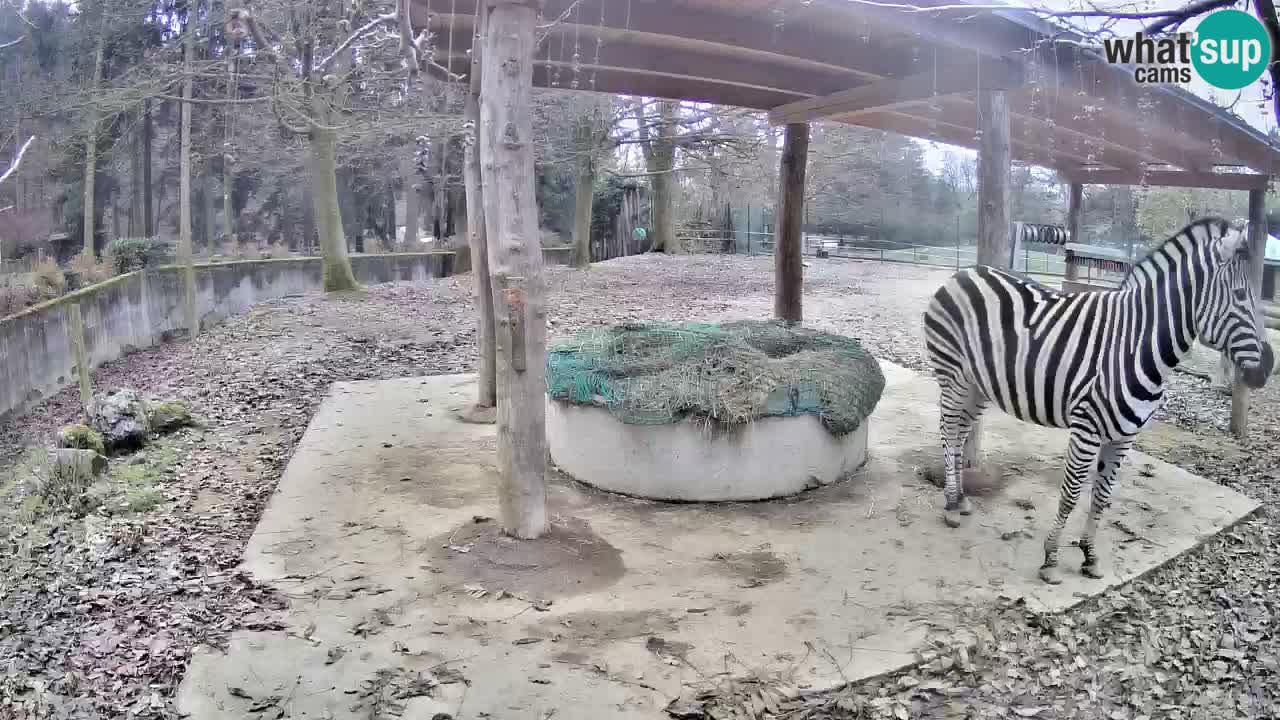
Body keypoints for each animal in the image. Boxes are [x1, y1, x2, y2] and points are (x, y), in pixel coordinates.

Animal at [926, 217, 1274, 584]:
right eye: (1240, 295)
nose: (1268, 368)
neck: (1136, 347)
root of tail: (965, 272)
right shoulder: (1087, 430)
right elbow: (1070, 494)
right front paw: (1050, 560)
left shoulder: (1124, 436)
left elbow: (1103, 496)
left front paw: (1089, 556)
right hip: (954, 376)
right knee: (949, 433)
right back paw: (950, 506)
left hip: (978, 386)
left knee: (960, 433)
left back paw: (961, 499)